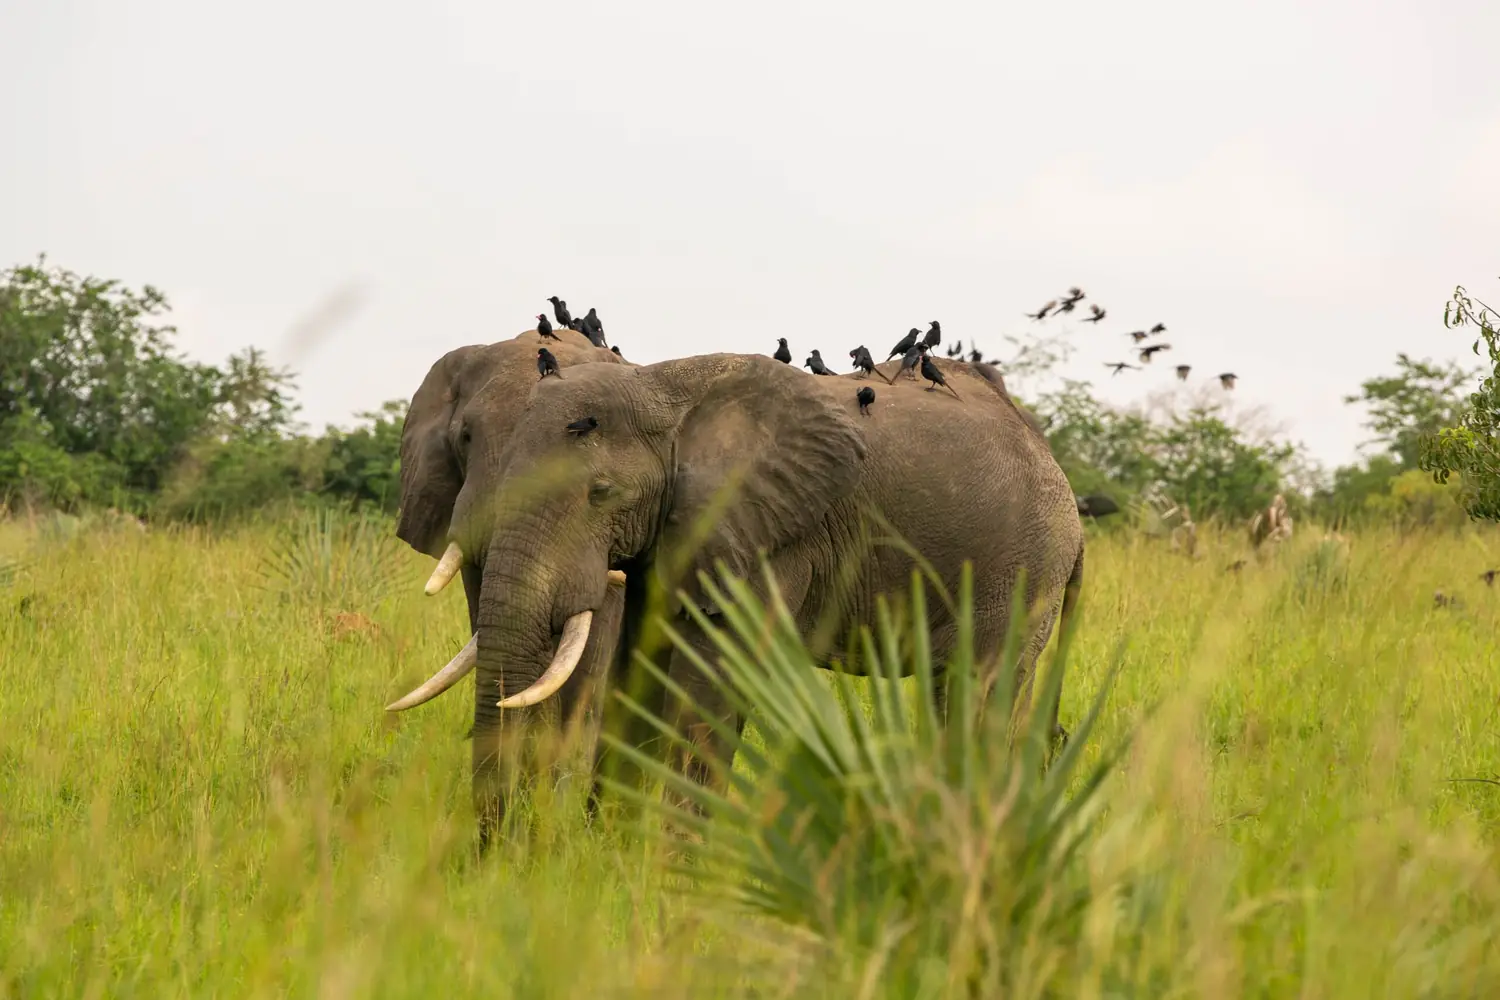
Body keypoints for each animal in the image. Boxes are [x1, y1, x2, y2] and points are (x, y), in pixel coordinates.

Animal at [386, 327, 1086, 844]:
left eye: (601, 493)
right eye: (467, 443)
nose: (495, 857)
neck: (663, 390)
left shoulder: (767, 529)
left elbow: (714, 673)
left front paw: (676, 870)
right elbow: (639, 667)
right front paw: (611, 853)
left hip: (1023, 566)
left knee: (980, 692)